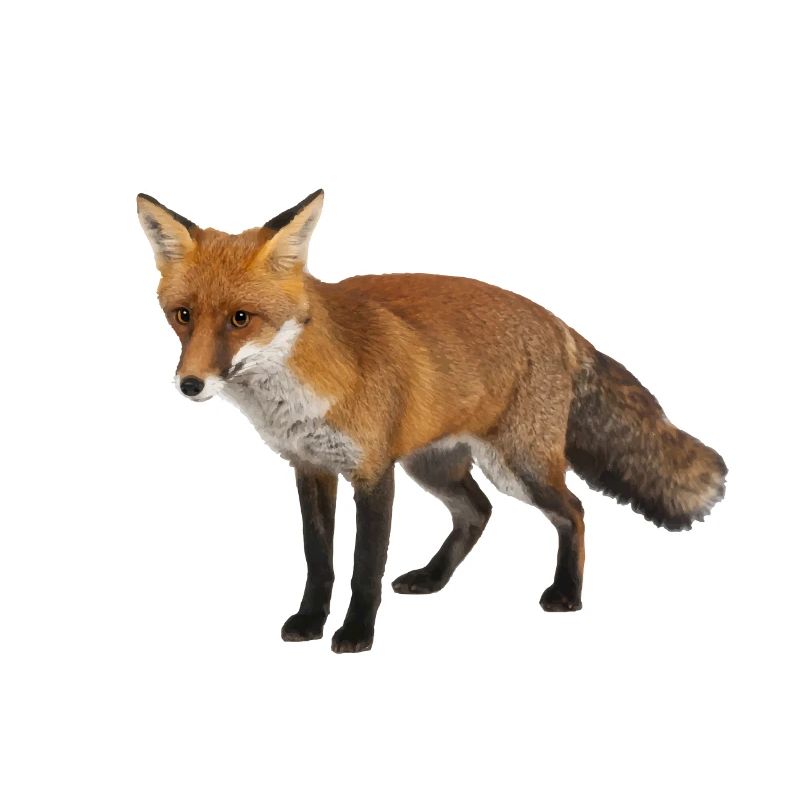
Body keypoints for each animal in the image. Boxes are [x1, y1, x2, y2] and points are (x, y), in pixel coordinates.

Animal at [137, 189, 727, 654]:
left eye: (241, 318)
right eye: (183, 315)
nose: (190, 384)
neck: (298, 390)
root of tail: (559, 323)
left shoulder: (373, 472)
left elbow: (364, 567)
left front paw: (356, 634)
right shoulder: (310, 467)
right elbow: (318, 561)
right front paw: (309, 621)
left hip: (519, 467)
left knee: (574, 512)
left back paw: (567, 594)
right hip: (435, 466)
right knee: (478, 513)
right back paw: (433, 578)